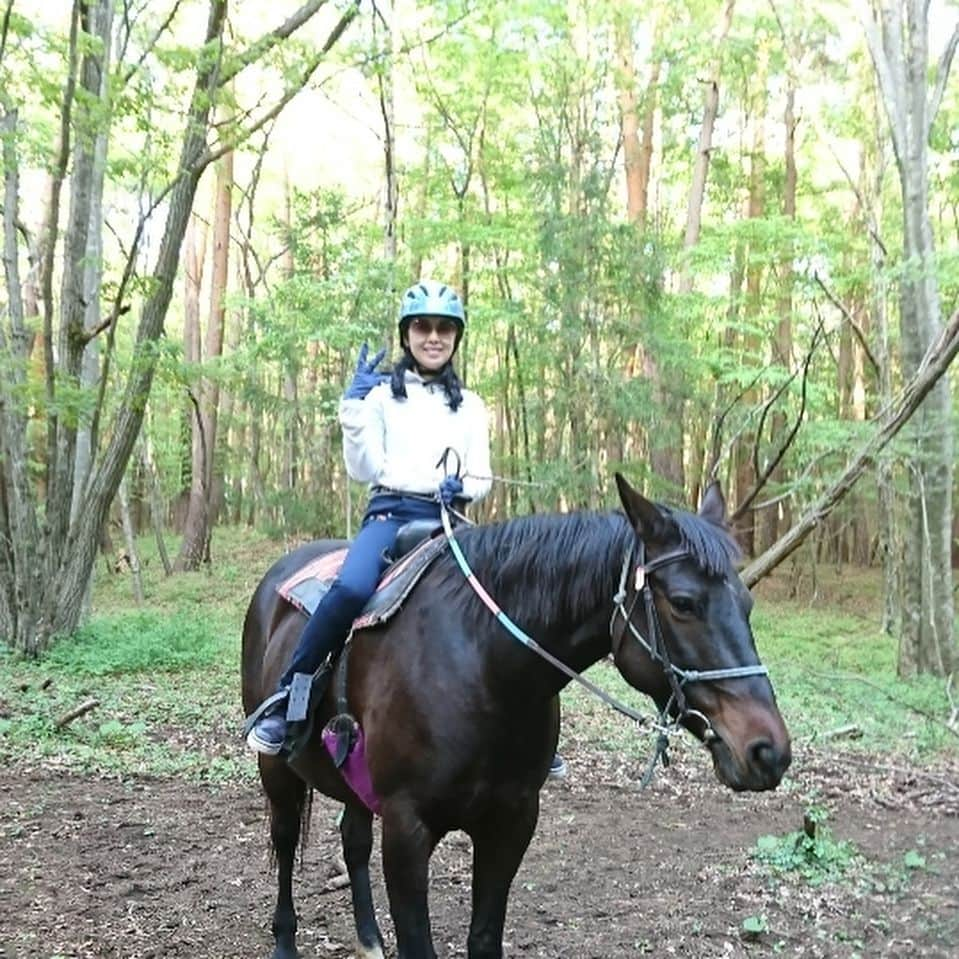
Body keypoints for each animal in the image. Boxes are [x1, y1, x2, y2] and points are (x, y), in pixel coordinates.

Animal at [244, 478, 792, 959]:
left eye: (747, 603)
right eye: (683, 603)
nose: (768, 750)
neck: (481, 666)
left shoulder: (512, 822)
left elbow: (485, 938)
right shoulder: (406, 828)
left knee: (352, 841)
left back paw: (369, 940)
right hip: (277, 771)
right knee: (285, 842)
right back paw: (284, 941)